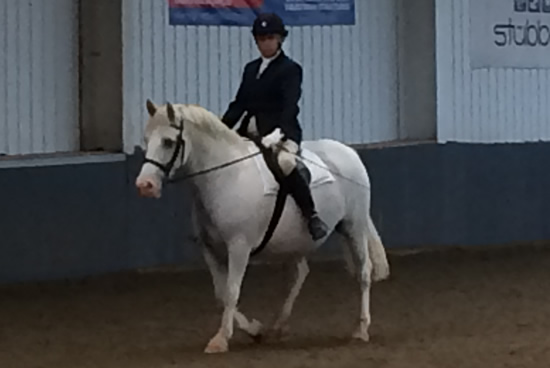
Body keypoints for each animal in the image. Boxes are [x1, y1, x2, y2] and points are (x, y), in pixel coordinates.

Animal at [135, 99, 390, 352]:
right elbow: (220, 293)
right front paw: (254, 330)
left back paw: (361, 329)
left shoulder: (239, 246)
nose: (145, 185)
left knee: (363, 272)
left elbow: (232, 291)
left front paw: (221, 339)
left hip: (354, 226)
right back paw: (278, 326)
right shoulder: (209, 249)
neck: (226, 176)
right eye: (146, 140)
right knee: (300, 274)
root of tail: (348, 151)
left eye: (168, 142)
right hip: (295, 240)